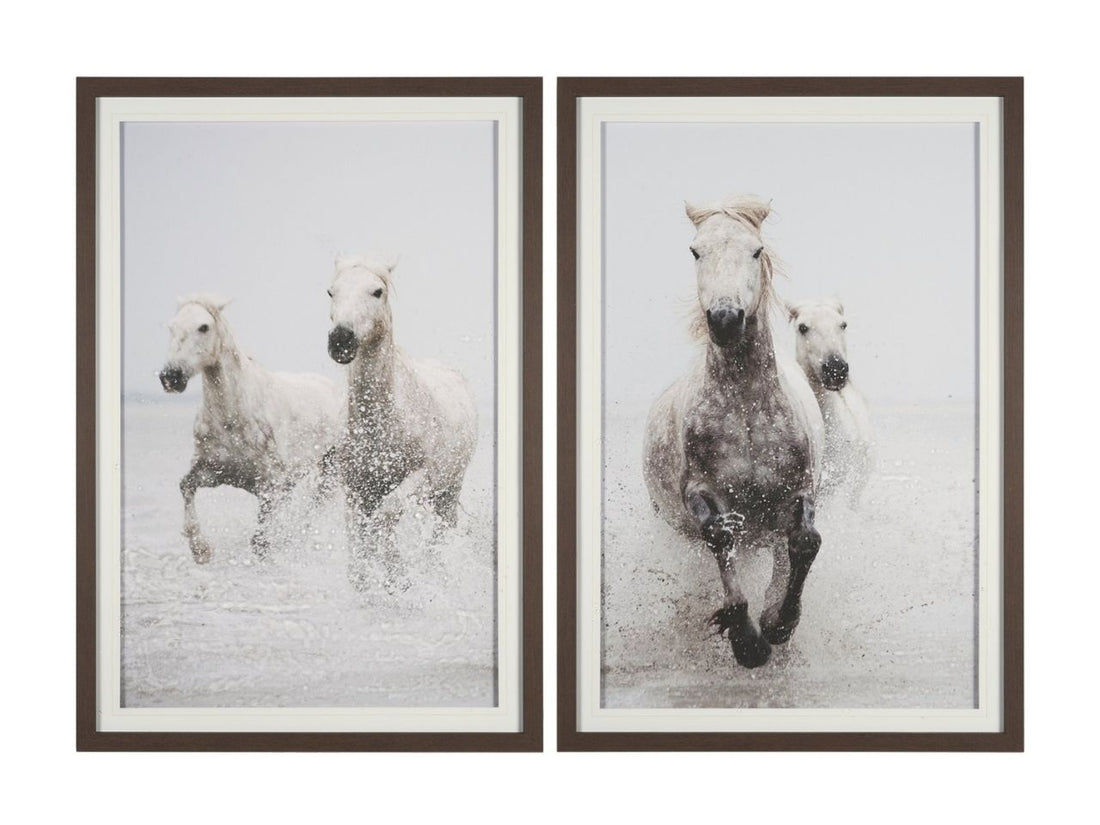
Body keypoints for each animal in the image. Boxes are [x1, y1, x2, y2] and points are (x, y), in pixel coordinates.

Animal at [159, 295, 342, 564]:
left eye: (203, 327)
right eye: (171, 327)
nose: (171, 376)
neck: (233, 419)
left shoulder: (269, 489)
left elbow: (260, 543)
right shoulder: (212, 471)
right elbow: (186, 486)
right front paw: (201, 550)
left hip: (329, 471)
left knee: (312, 510)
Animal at [325, 255, 477, 591]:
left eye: (377, 291)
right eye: (331, 291)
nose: (341, 339)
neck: (379, 423)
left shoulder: (419, 477)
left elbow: (387, 516)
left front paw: (398, 578)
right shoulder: (356, 489)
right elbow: (358, 539)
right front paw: (367, 581)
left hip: (448, 491)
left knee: (438, 533)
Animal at [642, 196, 826, 668]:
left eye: (756, 250)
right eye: (695, 251)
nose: (725, 319)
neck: (745, 411)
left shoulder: (798, 490)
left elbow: (804, 542)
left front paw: (779, 622)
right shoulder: (700, 491)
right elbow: (720, 536)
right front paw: (747, 640)